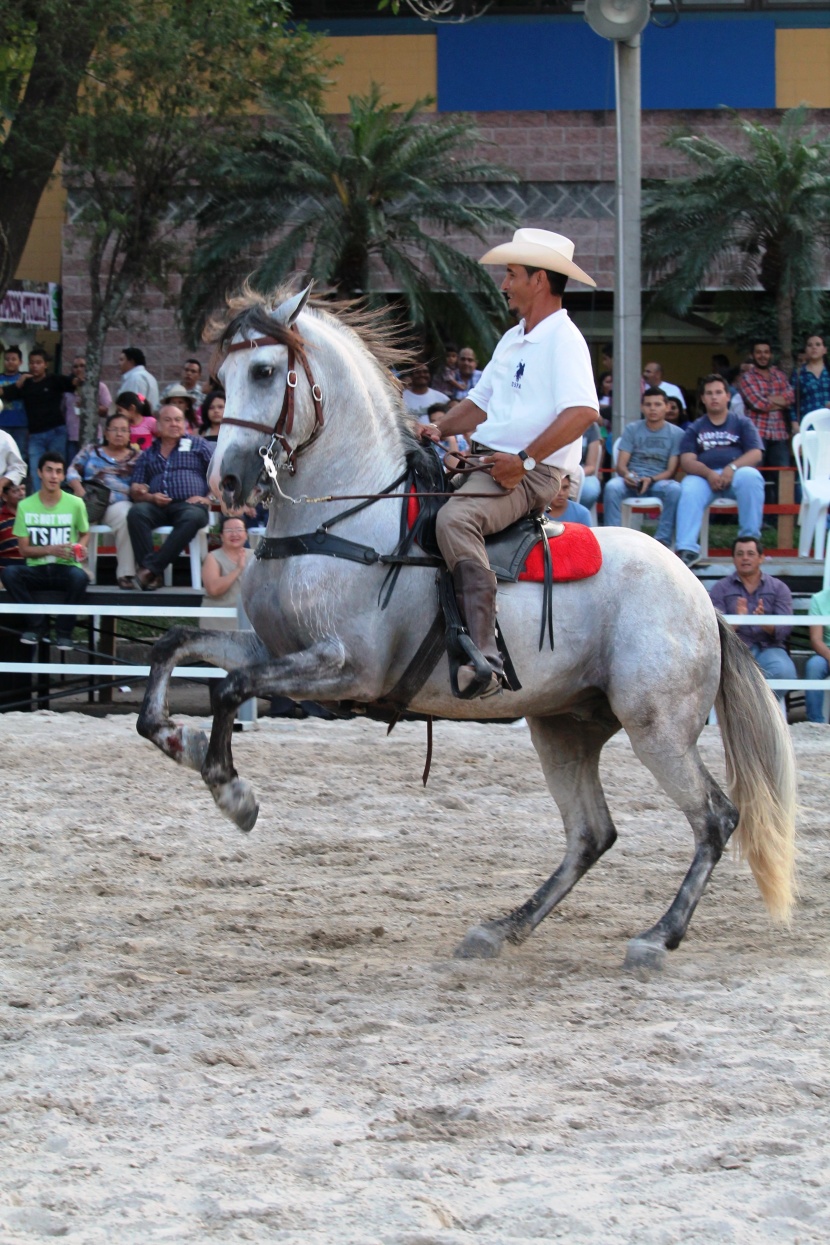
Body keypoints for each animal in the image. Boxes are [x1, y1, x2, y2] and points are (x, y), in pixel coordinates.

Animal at [138, 286, 796, 966]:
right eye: (221, 379)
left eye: (266, 371)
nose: (225, 480)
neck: (347, 519)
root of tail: (700, 597)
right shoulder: (272, 647)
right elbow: (173, 646)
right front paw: (177, 739)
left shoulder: (347, 668)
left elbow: (229, 688)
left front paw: (229, 788)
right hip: (565, 728)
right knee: (592, 833)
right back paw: (505, 927)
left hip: (657, 730)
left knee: (715, 818)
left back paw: (658, 935)